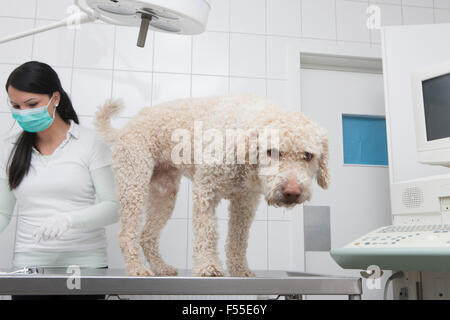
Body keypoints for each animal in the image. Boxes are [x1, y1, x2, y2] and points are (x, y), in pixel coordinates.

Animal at [95, 94, 328, 276]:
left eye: (308, 155)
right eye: (272, 151)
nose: (292, 192)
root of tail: (125, 128)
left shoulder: (245, 203)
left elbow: (238, 238)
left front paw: (239, 269)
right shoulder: (206, 189)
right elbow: (207, 231)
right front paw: (208, 265)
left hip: (164, 194)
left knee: (147, 235)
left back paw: (161, 268)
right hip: (134, 183)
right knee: (127, 234)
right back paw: (136, 268)